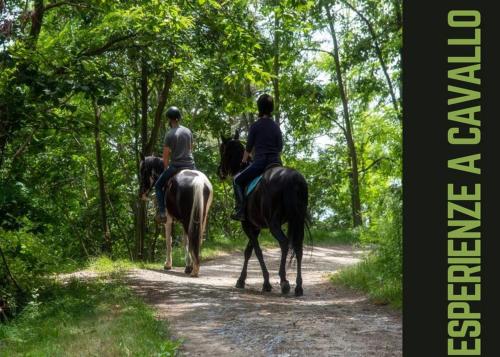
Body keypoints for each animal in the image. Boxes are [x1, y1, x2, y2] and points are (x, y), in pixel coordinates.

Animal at [219, 132, 308, 294]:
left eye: (222, 150)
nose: (220, 172)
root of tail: (293, 179)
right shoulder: (256, 227)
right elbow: (248, 251)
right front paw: (241, 280)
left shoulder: (247, 225)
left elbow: (257, 251)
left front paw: (266, 282)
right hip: (297, 220)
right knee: (298, 247)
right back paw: (298, 286)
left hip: (274, 223)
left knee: (284, 243)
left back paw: (284, 281)